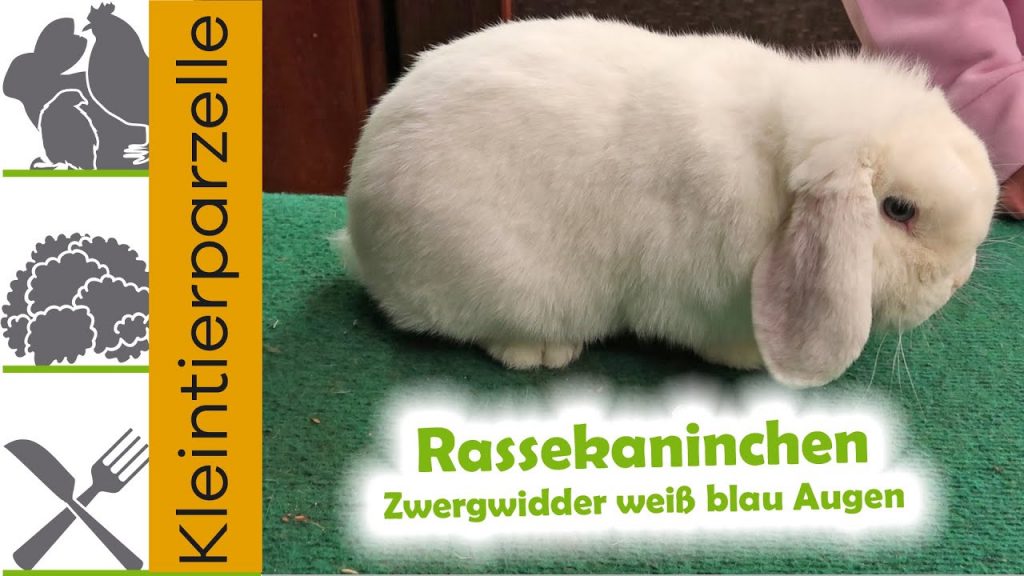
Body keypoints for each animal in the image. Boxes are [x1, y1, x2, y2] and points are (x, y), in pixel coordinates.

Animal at [333, 17, 999, 388]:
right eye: (898, 210)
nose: (960, 279)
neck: (775, 166)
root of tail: (360, 232)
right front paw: (750, 362)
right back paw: (541, 350)